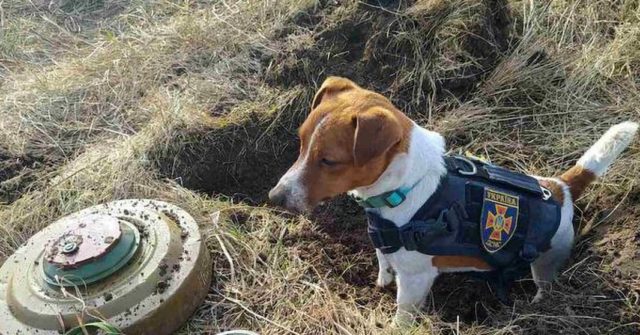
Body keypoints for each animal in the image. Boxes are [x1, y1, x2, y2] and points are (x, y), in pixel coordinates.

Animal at [266, 77, 636, 326]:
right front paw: (381, 282)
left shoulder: (415, 280)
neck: (406, 185)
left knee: (544, 284)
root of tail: (559, 188)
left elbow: (402, 315)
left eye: (329, 161)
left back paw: (537, 306)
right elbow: (384, 262)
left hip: (546, 262)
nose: (274, 197)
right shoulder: (385, 244)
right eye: (300, 142)